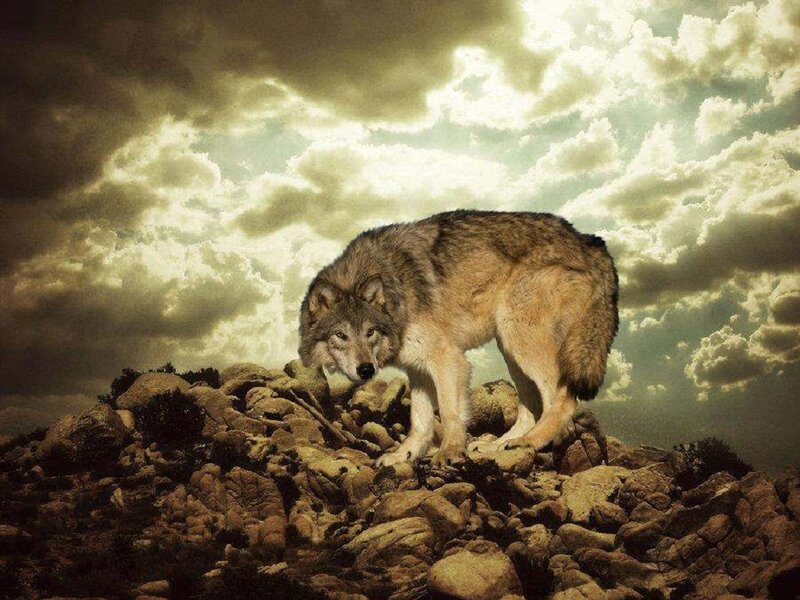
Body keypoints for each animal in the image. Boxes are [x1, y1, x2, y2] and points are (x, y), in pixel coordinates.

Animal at [298, 210, 619, 468]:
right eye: (341, 335)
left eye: (370, 332)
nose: (366, 370)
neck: (395, 289)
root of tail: (589, 240)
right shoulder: (417, 370)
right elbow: (420, 422)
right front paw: (405, 455)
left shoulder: (448, 359)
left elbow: (450, 411)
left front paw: (450, 451)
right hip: (510, 348)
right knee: (531, 407)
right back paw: (499, 445)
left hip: (519, 336)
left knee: (560, 399)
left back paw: (531, 440)